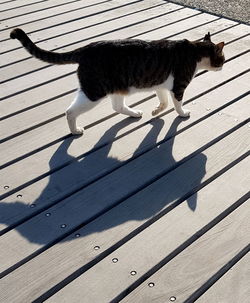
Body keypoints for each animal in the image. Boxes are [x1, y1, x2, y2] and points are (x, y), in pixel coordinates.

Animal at [10, 28, 225, 135]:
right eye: (222, 58)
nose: (223, 65)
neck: (195, 51)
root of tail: (86, 48)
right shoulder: (178, 86)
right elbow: (177, 104)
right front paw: (183, 113)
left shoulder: (161, 85)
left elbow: (163, 102)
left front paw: (155, 111)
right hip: (94, 92)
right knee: (70, 112)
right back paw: (75, 130)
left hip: (115, 88)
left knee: (117, 107)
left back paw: (134, 113)